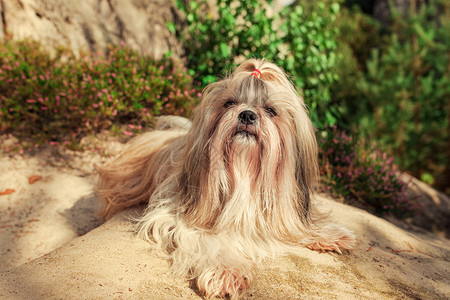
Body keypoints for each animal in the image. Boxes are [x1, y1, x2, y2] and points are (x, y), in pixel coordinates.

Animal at [97, 59, 356, 300]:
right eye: (229, 103)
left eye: (270, 110)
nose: (247, 114)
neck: (244, 173)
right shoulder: (180, 219)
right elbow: (209, 241)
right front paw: (225, 271)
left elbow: (293, 226)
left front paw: (327, 235)